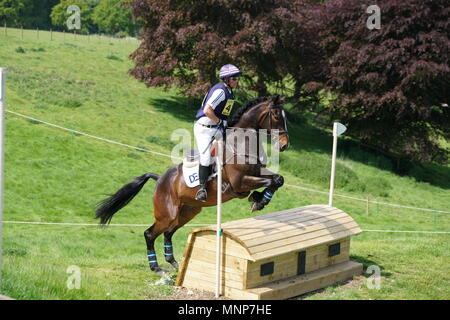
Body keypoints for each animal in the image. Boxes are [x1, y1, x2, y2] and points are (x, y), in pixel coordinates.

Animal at [95, 95, 290, 276]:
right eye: (276, 115)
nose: (285, 145)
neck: (242, 144)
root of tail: (159, 179)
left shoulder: (257, 174)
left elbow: (278, 179)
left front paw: (259, 199)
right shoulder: (239, 184)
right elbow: (272, 181)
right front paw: (259, 200)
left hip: (187, 212)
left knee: (168, 233)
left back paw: (175, 264)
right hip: (167, 214)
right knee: (150, 234)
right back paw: (157, 268)